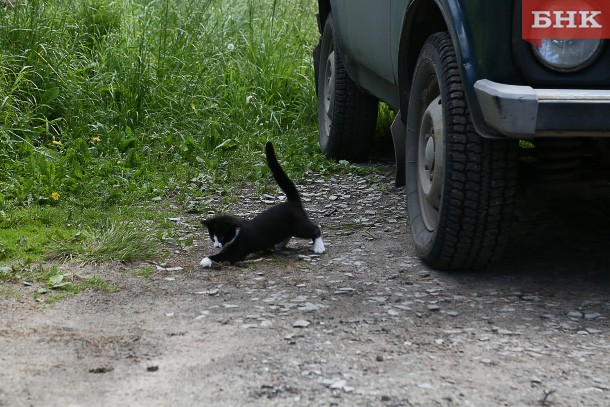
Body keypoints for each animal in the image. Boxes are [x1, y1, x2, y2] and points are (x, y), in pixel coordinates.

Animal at [198, 142, 324, 270]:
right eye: (213, 238)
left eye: (222, 237)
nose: (217, 246)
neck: (237, 232)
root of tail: (292, 202)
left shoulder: (238, 249)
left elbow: (223, 256)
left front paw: (206, 260)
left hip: (298, 226)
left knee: (315, 229)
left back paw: (319, 247)